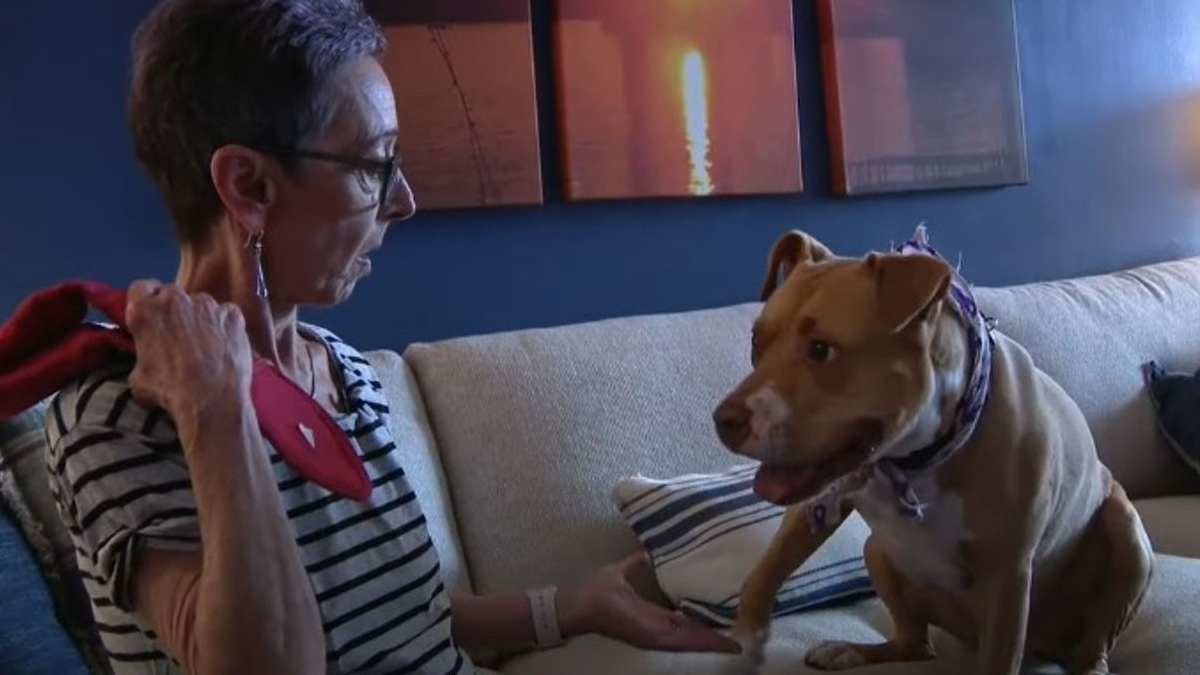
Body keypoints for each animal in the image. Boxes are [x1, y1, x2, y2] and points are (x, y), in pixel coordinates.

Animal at [710, 228, 1152, 667]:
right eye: (756, 340)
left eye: (822, 349)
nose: (724, 420)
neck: (914, 461)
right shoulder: (818, 501)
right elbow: (769, 567)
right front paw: (745, 640)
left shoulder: (1007, 576)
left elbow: (1001, 658)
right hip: (878, 552)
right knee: (915, 643)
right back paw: (854, 651)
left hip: (1128, 537)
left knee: (1094, 645)